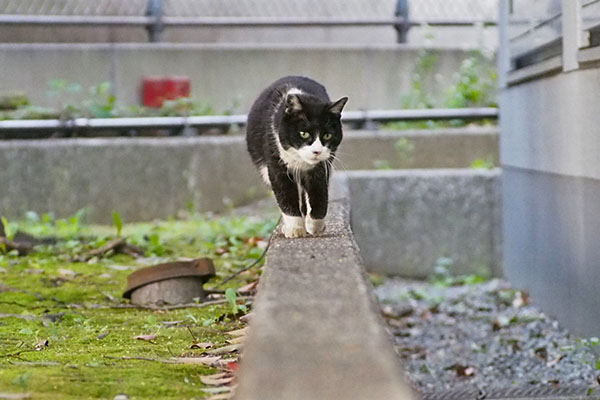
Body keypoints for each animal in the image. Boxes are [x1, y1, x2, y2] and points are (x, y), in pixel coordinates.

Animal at [244, 76, 346, 238]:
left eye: (327, 135)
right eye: (303, 133)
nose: (317, 151)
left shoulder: (321, 167)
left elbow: (320, 193)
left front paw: (315, 226)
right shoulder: (276, 165)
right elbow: (285, 195)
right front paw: (295, 229)